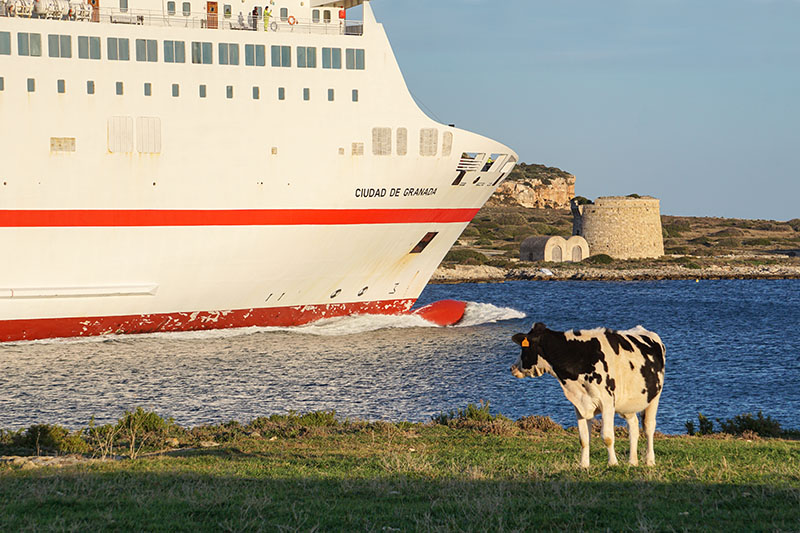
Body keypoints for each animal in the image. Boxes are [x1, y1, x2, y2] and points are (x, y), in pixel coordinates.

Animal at [511, 322, 665, 468]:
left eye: (524, 348)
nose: (513, 368)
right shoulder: (580, 403)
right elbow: (584, 438)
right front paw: (583, 465)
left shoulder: (607, 402)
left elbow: (607, 436)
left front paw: (613, 463)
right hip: (628, 403)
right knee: (633, 426)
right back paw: (632, 462)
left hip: (654, 397)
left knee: (648, 427)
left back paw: (649, 460)